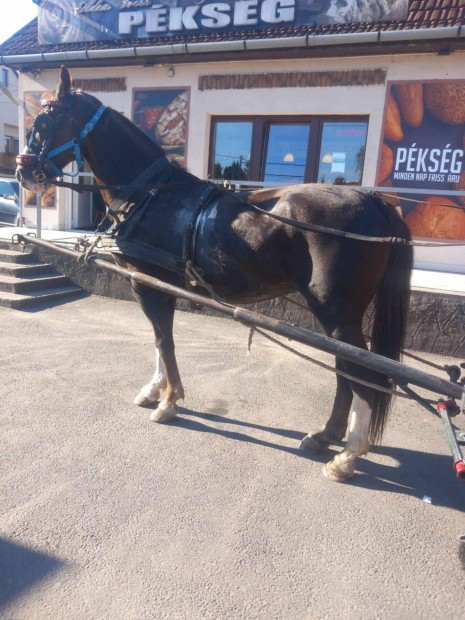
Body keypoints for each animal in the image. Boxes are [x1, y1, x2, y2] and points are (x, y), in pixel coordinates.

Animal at [15, 69, 414, 484]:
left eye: (43, 124)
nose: (23, 172)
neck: (151, 194)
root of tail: (375, 202)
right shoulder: (154, 285)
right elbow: (159, 341)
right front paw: (155, 390)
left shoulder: (149, 285)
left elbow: (165, 341)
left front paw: (169, 401)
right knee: (345, 371)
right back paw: (325, 436)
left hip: (338, 314)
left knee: (363, 373)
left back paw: (348, 455)